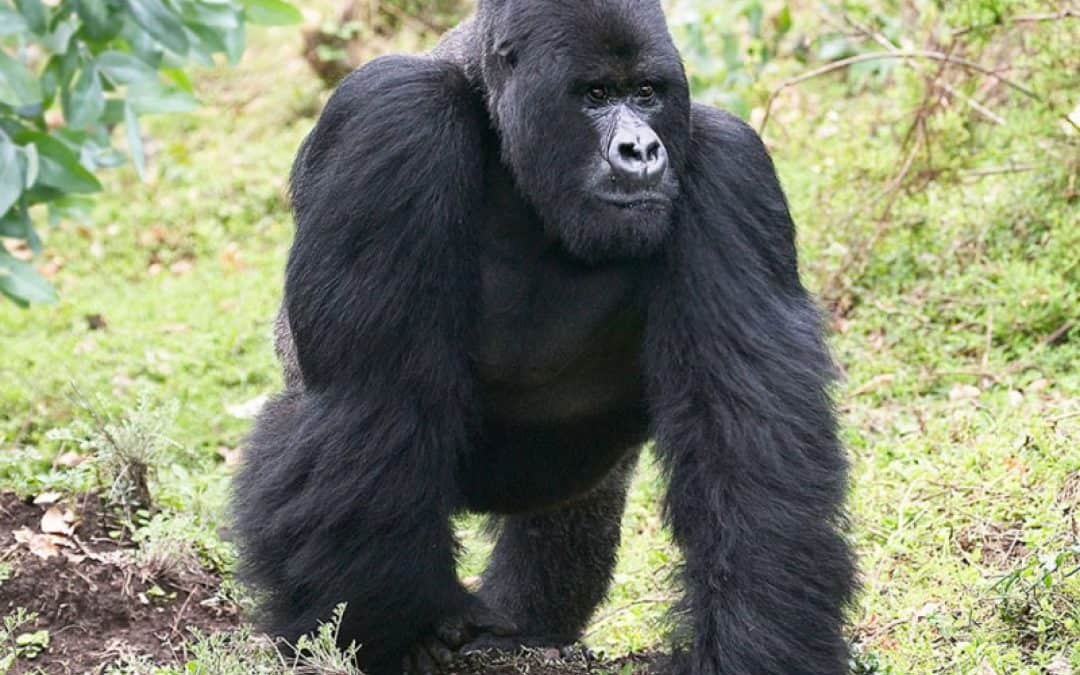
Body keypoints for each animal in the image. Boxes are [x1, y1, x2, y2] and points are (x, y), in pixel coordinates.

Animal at [232, 1, 855, 673]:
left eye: (646, 92)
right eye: (596, 95)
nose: (642, 150)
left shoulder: (730, 165)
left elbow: (748, 445)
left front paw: (756, 644)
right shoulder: (391, 118)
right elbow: (371, 404)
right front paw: (396, 637)